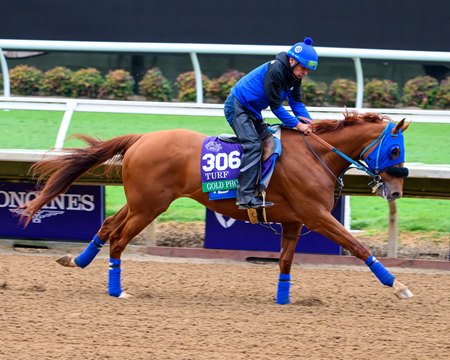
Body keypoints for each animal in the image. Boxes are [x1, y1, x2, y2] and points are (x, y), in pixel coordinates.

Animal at [22, 112, 414, 304]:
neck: (315, 154)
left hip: (140, 203)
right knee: (118, 239)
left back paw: (77, 260)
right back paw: (117, 291)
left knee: (106, 225)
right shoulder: (316, 216)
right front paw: (397, 285)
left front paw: (283, 299)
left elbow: (286, 261)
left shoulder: (294, 221)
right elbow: (357, 246)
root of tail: (141, 138)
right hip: (148, 207)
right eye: (395, 149)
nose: (396, 191)